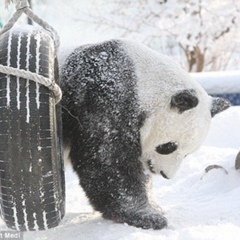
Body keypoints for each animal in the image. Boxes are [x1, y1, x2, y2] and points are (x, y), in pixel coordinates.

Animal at [59, 39, 229, 231]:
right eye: (167, 147)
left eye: (187, 154)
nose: (165, 174)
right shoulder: (102, 101)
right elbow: (107, 160)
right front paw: (145, 215)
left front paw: (154, 206)